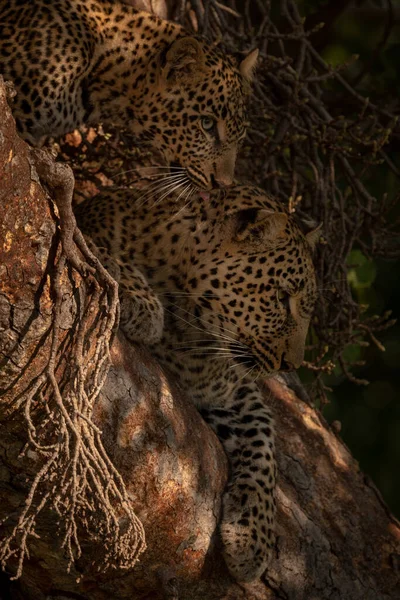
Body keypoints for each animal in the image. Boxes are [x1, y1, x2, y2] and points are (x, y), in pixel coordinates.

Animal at [76, 183, 318, 580]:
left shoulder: (230, 390)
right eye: (282, 298)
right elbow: (88, 242)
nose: (291, 364)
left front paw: (253, 536)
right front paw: (143, 303)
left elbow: (265, 441)